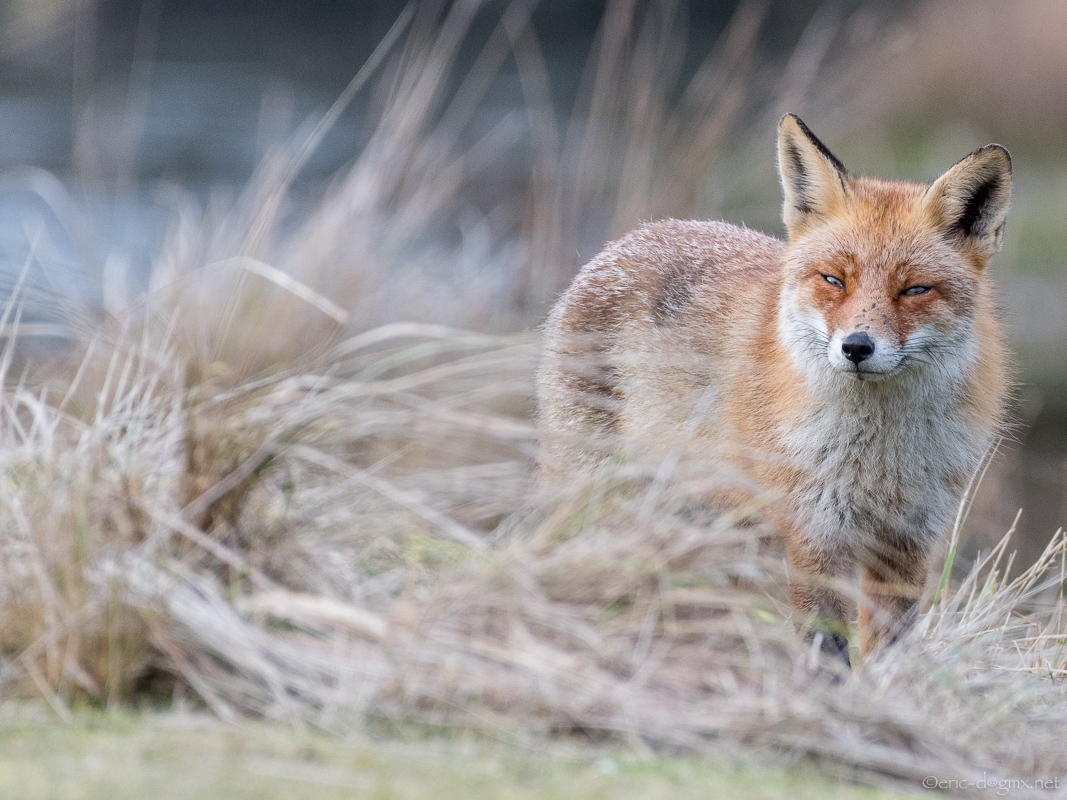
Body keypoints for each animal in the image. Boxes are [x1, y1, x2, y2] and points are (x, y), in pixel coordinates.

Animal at [537, 114, 1012, 664]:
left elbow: (888, 645)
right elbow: (827, 647)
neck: (879, 457)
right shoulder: (812, 532)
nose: (856, 347)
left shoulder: (908, 540)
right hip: (598, 486)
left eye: (914, 289)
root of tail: (633, 236)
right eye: (834, 280)